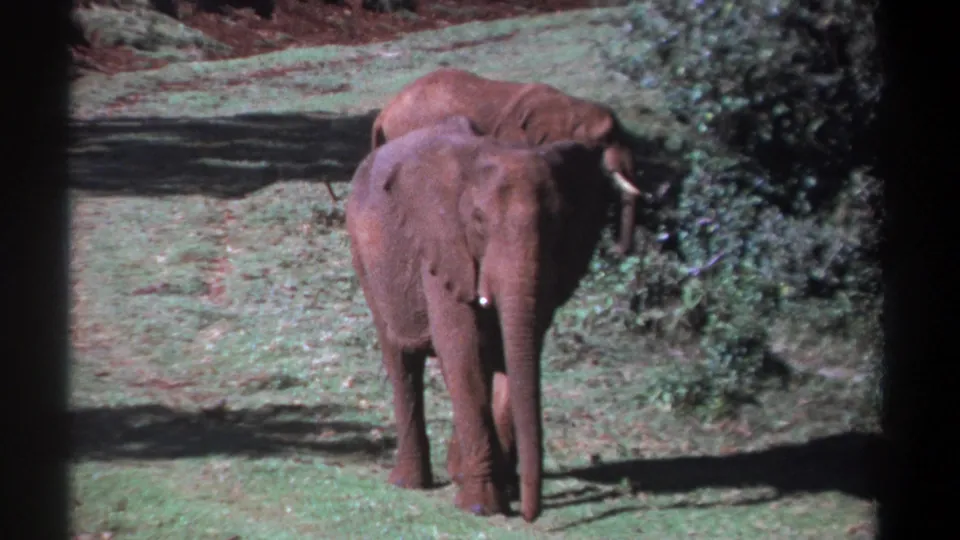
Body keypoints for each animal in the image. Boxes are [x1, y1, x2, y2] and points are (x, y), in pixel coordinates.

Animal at [346, 115, 619, 522]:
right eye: (477, 221)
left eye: (559, 223)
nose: (531, 514)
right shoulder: (442, 246)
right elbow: (464, 351)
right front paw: (481, 507)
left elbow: (509, 353)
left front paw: (495, 490)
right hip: (365, 258)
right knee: (400, 358)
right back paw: (409, 483)